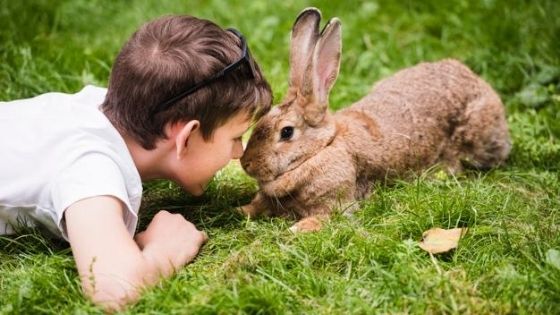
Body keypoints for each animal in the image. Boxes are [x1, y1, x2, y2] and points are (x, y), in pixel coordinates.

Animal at [238, 7, 510, 232]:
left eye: (286, 132)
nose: (246, 163)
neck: (321, 148)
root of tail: (478, 81)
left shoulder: (337, 202)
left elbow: (324, 216)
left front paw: (298, 228)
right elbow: (257, 204)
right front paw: (240, 210)